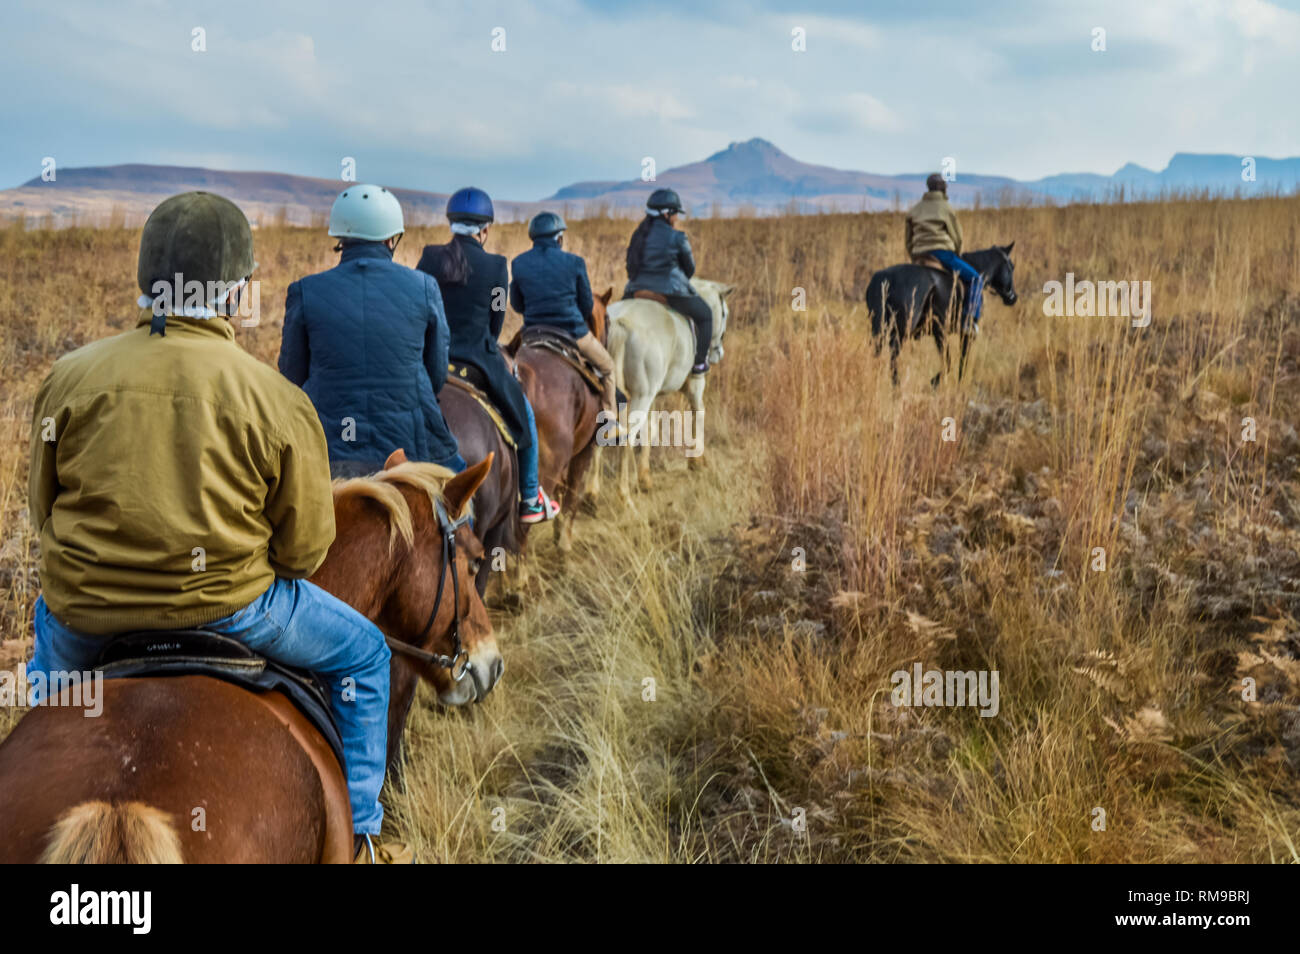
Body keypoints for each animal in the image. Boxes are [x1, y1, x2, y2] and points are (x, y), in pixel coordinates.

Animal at [595, 276, 733, 501]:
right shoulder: (694, 385)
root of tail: (620, 325)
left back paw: (591, 493)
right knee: (626, 437)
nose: (718, 353)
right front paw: (696, 461)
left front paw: (644, 478)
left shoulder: (653, 396)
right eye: (724, 314)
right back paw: (623, 495)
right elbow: (698, 413)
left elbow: (649, 431)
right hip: (641, 397)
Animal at [868, 244, 1019, 387]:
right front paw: (942, 384)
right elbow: (957, 363)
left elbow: (951, 362)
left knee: (878, 355)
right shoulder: (960, 333)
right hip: (901, 331)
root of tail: (885, 278)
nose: (1013, 297)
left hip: (880, 329)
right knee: (893, 358)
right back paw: (896, 388)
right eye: (1011, 267)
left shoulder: (939, 332)